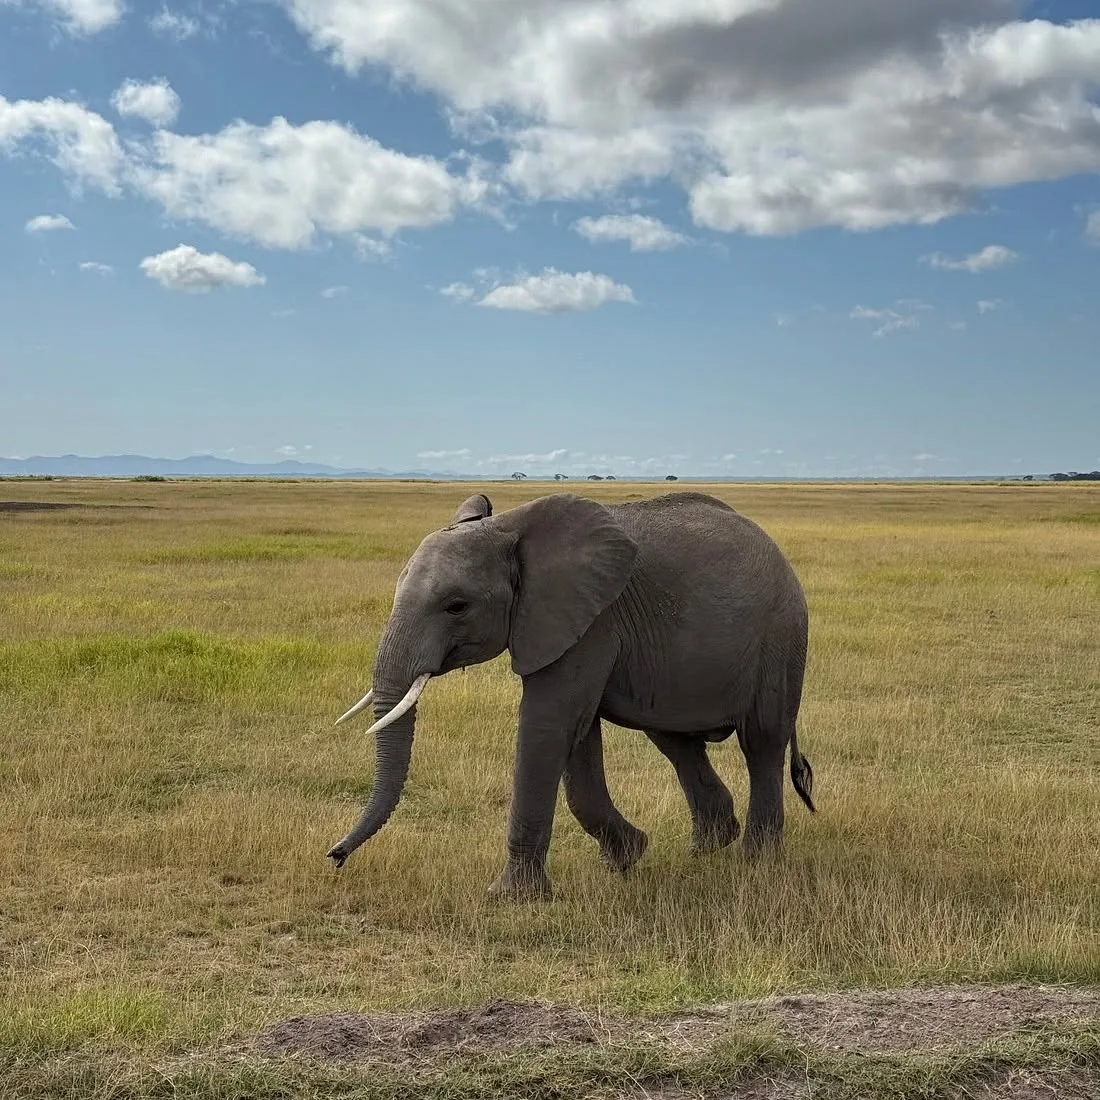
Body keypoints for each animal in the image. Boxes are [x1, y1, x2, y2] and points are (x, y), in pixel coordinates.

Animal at [327, 490, 814, 899]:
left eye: (456, 607)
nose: (335, 857)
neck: (508, 527)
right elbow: (577, 734)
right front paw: (626, 858)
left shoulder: (592, 620)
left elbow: (550, 722)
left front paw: (511, 899)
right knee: (676, 740)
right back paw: (707, 849)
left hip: (780, 637)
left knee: (761, 742)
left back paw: (756, 861)